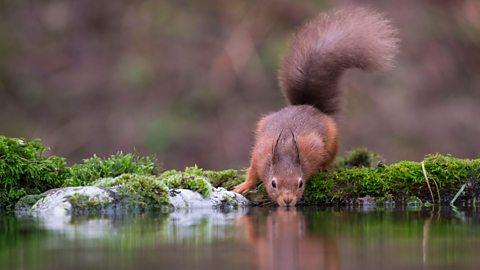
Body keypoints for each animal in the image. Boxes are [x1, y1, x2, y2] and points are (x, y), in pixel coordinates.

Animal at [232, 6, 398, 207]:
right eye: (273, 183)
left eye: (300, 183)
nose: (288, 201)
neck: (286, 146)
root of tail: (309, 106)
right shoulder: (260, 154)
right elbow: (252, 171)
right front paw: (243, 185)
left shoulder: (313, 148)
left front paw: (318, 169)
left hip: (333, 140)